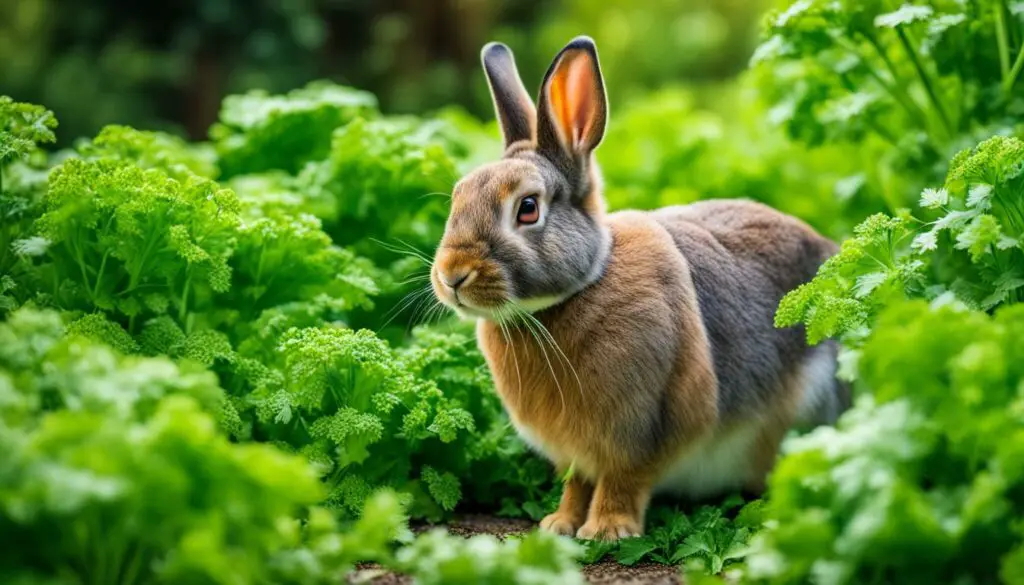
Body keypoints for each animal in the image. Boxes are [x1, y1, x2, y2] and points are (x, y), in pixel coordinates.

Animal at [428, 35, 851, 540]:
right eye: (458, 197)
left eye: (527, 208)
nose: (452, 275)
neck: (574, 293)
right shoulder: (576, 454)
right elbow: (577, 484)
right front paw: (559, 524)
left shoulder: (645, 426)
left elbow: (623, 479)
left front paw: (607, 531)